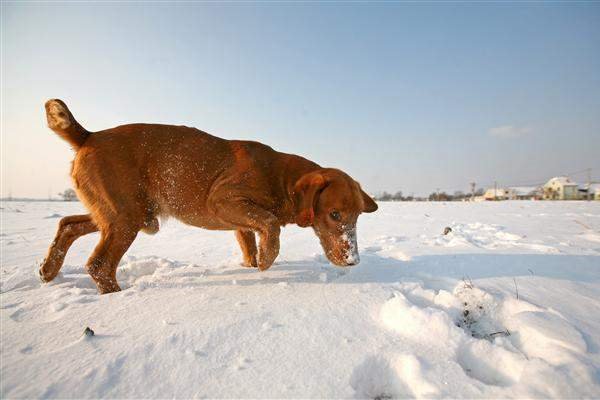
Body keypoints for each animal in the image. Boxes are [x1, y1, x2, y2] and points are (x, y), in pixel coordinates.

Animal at [39, 100, 378, 294]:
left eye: (357, 217)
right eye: (335, 215)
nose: (353, 261)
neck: (279, 175)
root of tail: (89, 135)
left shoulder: (242, 225)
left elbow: (251, 245)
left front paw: (254, 264)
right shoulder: (223, 199)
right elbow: (271, 224)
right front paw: (268, 259)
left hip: (118, 214)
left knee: (68, 223)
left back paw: (48, 270)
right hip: (127, 218)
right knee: (99, 265)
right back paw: (116, 295)